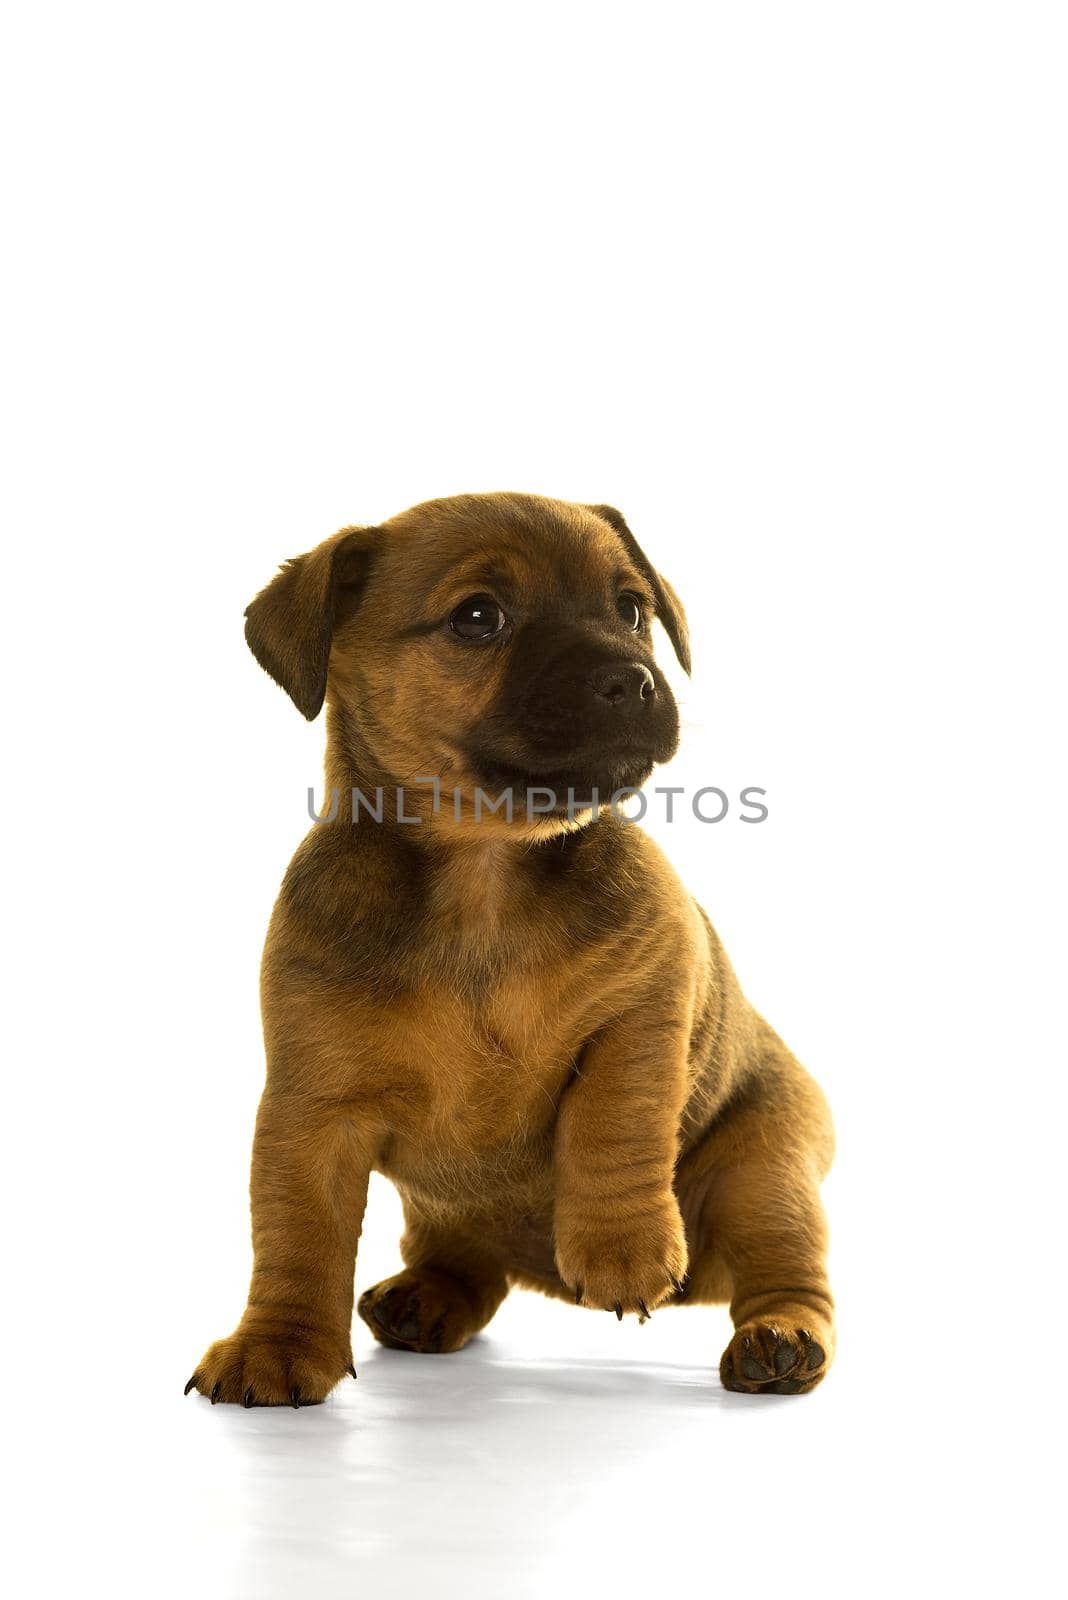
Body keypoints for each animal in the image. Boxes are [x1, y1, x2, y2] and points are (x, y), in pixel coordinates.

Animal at [185, 492, 831, 1408]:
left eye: (631, 609)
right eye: (478, 617)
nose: (633, 678)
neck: (484, 874)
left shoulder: (644, 1009)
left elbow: (613, 1118)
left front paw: (621, 1247)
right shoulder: (313, 1111)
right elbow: (296, 1235)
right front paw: (277, 1343)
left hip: (764, 1175)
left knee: (787, 1274)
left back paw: (781, 1341)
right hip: (449, 1216)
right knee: (467, 1266)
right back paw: (427, 1295)